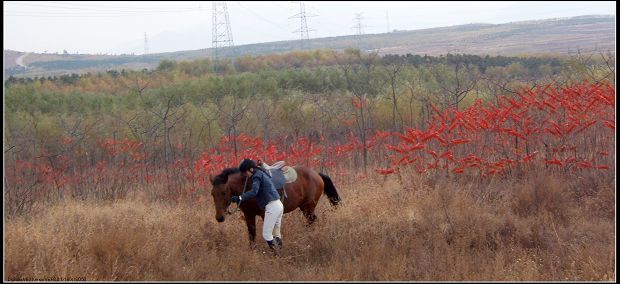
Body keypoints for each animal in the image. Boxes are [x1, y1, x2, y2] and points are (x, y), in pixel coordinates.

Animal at [211, 168, 342, 243]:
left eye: (224, 192)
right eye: (212, 193)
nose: (219, 217)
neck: (249, 185)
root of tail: (316, 174)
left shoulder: (265, 215)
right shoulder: (249, 215)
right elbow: (252, 235)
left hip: (308, 207)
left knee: (312, 221)